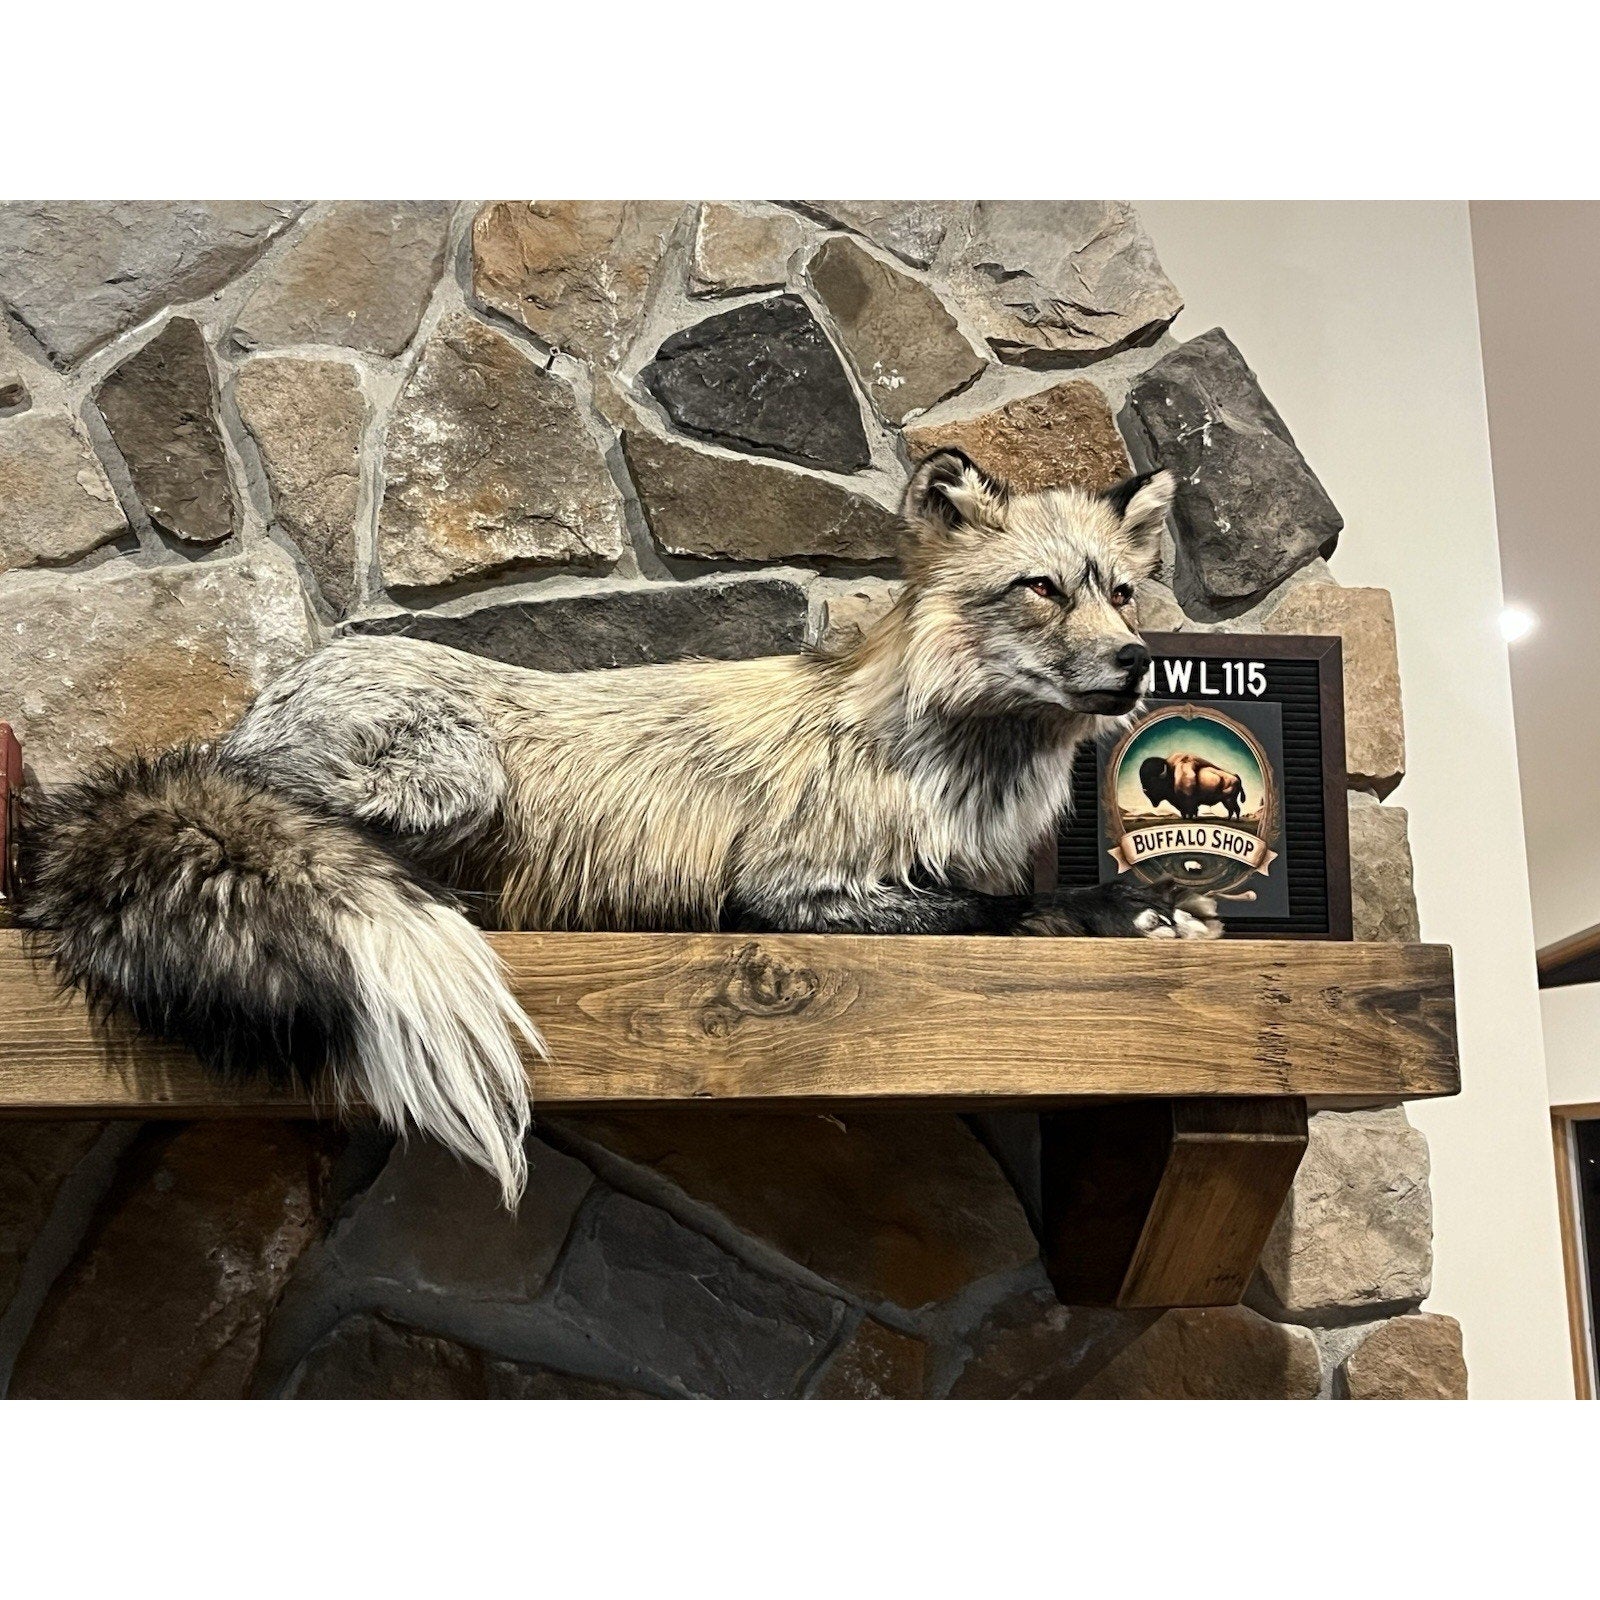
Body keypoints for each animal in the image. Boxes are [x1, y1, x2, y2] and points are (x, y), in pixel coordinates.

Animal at [16, 450, 1219, 1204]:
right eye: (1040, 589)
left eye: (1119, 593)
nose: (1136, 664)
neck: (946, 763)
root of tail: (244, 717)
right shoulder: (788, 889)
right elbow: (992, 906)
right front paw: (1119, 906)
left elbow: (1006, 891)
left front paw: (1153, 901)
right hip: (456, 775)